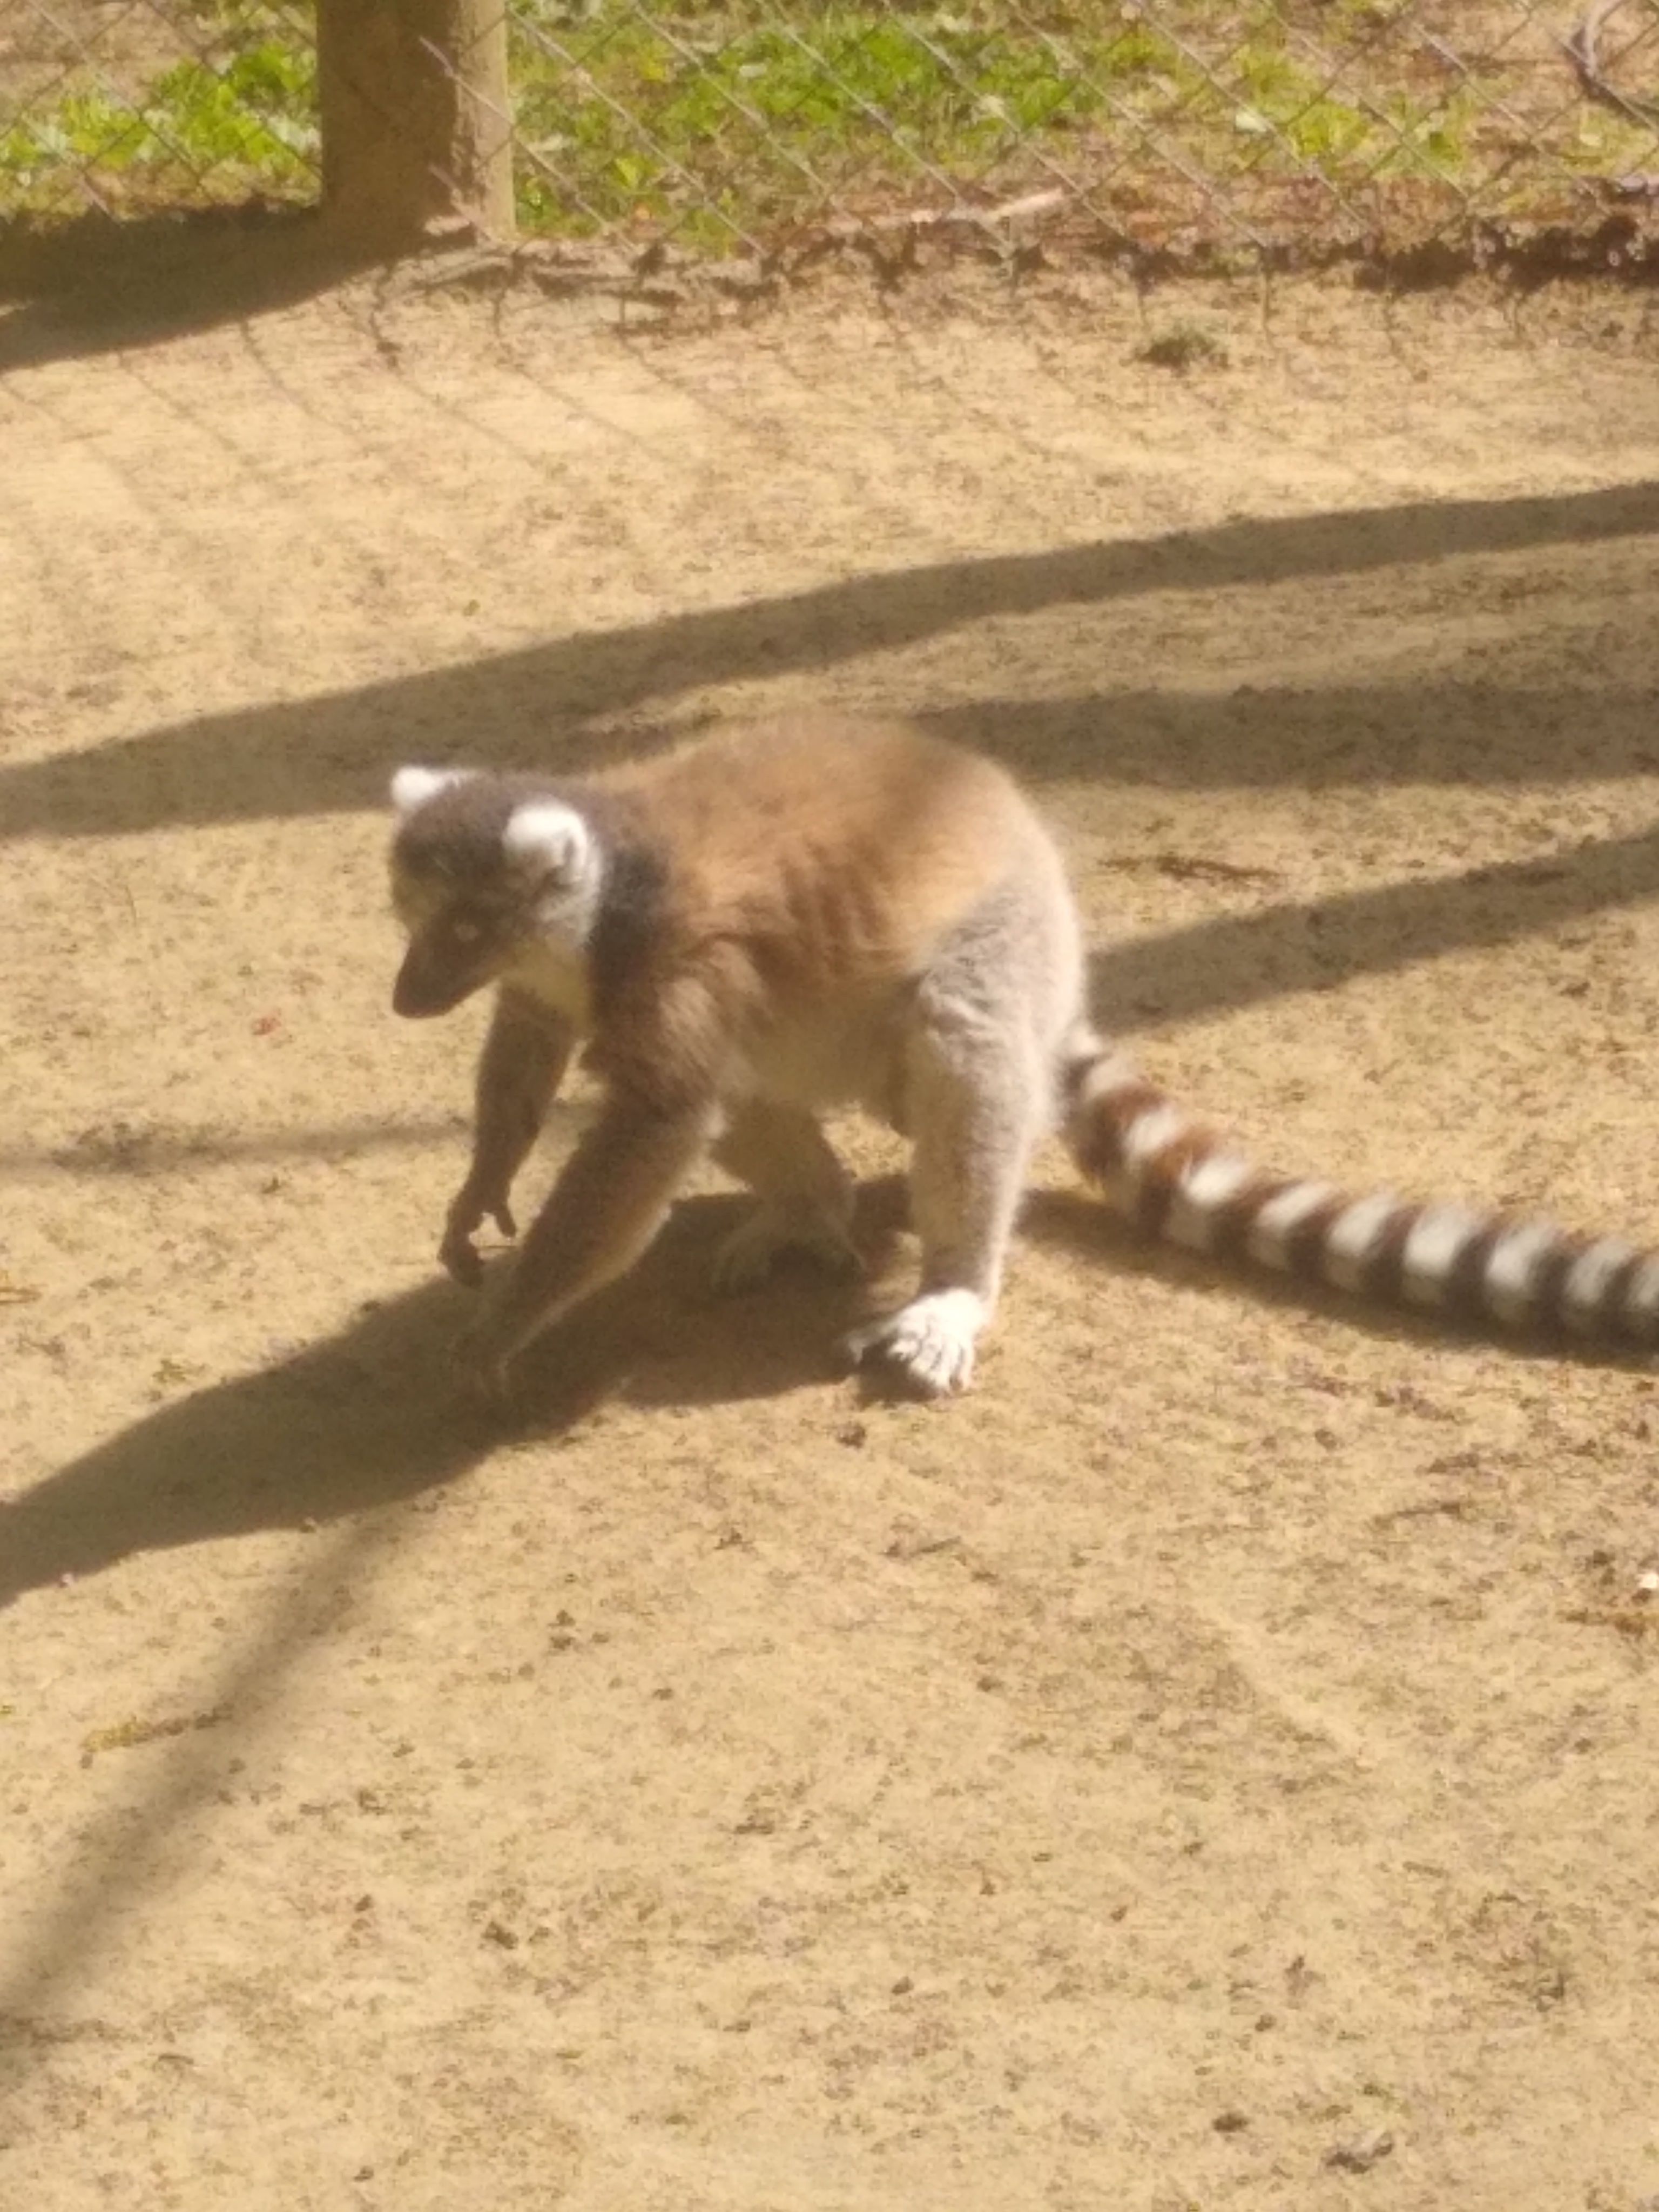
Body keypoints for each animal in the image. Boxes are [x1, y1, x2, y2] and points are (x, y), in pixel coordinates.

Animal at [386, 710, 1659, 1401]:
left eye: (463, 925)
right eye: (414, 920)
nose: (406, 998)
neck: (607, 900)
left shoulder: (672, 966)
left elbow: (648, 1127)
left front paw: (500, 1328)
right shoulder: (569, 981)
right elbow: (536, 1046)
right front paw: (481, 1187)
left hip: (991, 947)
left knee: (956, 1048)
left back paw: (952, 1288)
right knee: (746, 1085)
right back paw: (807, 1208)